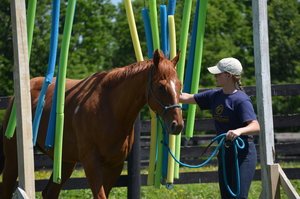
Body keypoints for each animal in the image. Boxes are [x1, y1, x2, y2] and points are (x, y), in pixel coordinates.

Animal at [0, 49, 184, 197]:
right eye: (161, 86)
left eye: (179, 85)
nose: (178, 125)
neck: (108, 108)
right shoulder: (91, 163)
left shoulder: (114, 166)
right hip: (13, 160)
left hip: (65, 162)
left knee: (49, 192)